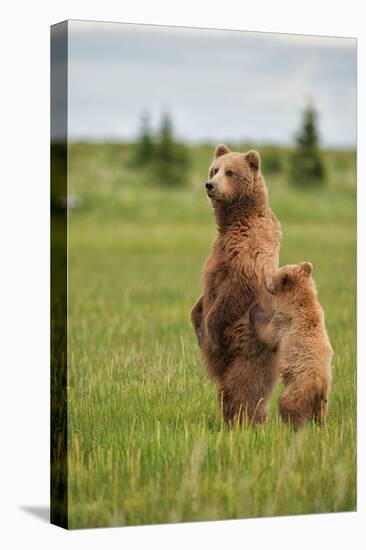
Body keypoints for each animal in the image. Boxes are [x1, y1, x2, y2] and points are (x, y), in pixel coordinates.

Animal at [190, 144, 282, 424]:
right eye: (214, 169)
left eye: (230, 172)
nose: (210, 184)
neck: (234, 221)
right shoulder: (218, 250)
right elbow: (202, 296)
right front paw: (197, 324)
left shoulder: (249, 247)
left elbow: (238, 286)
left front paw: (208, 329)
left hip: (248, 343)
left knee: (240, 387)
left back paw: (244, 421)